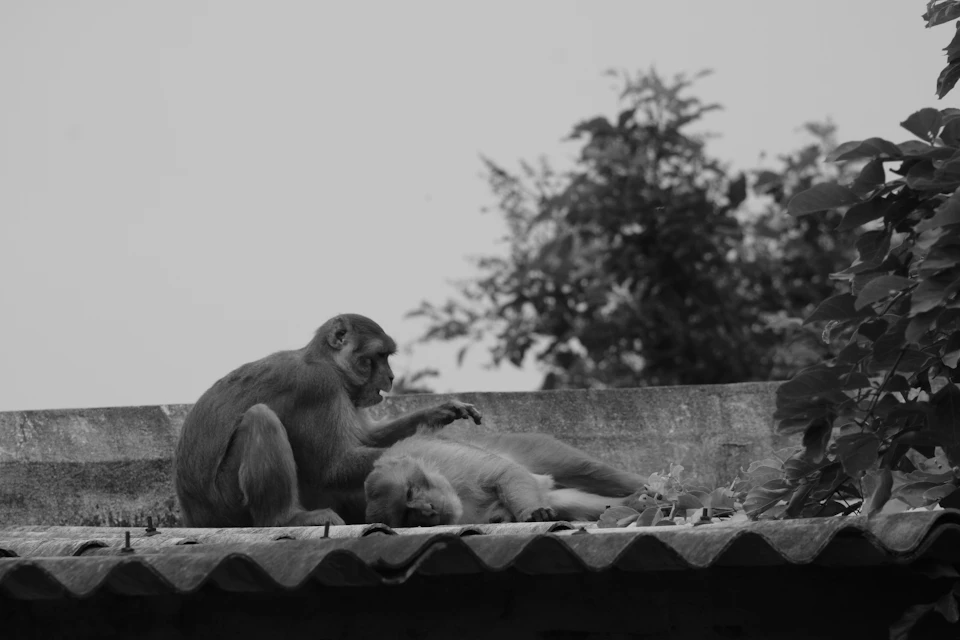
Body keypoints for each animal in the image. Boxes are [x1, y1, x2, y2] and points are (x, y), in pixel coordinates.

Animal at [173, 314, 482, 528]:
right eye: (379, 356)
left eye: (387, 358)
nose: (391, 376)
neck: (326, 362)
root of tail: (194, 517)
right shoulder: (320, 386)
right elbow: (332, 467)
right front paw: (428, 445)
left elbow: (366, 438)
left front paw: (439, 412)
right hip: (227, 503)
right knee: (261, 418)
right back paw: (284, 520)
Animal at [364, 431, 641, 527]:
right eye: (407, 515)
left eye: (410, 492)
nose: (427, 509)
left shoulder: (443, 457)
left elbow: (504, 473)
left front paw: (532, 512)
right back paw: (632, 503)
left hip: (533, 446)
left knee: (586, 469)